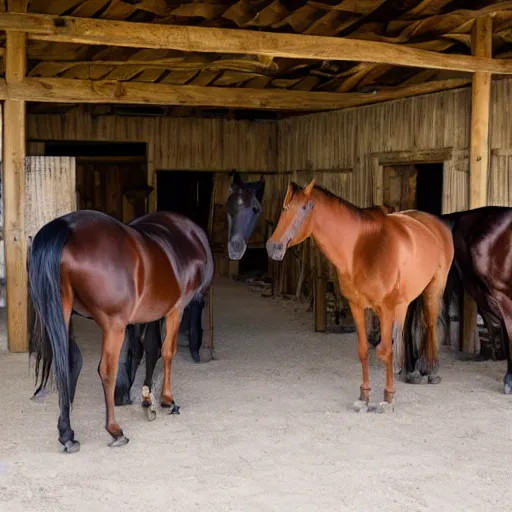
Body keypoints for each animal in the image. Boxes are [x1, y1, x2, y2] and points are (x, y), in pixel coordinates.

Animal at [28, 209, 212, 452]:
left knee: (66, 364)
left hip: (62, 313)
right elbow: (166, 352)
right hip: (114, 326)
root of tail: (66, 226)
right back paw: (115, 430)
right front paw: (166, 399)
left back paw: (67, 433)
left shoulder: (150, 314)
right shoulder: (176, 309)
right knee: (107, 370)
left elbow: (149, 349)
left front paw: (147, 399)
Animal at [266, 180, 454, 412]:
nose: (273, 247)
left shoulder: (386, 308)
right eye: (284, 209)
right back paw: (413, 372)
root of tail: (436, 224)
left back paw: (431, 371)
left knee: (430, 324)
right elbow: (364, 350)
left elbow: (385, 350)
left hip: (434, 288)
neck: (363, 248)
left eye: (303, 208)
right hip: (407, 298)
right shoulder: (357, 306)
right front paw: (364, 396)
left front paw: (388, 398)